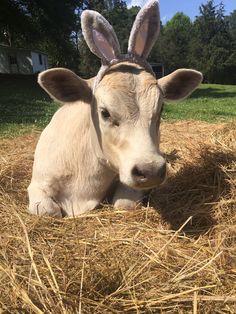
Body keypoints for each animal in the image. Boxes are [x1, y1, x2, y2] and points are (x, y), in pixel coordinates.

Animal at [27, 0, 201, 217]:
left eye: (161, 109)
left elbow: (124, 203)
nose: (151, 170)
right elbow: (48, 211)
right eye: (105, 113)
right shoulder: (37, 184)